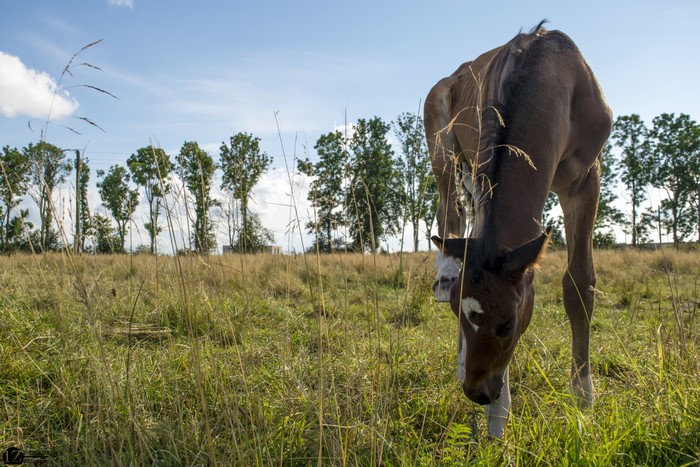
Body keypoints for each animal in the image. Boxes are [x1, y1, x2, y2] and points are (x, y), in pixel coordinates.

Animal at [424, 22, 612, 437]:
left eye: (507, 324)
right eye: (459, 314)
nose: (477, 393)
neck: (552, 76)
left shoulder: (585, 181)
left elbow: (579, 284)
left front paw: (583, 397)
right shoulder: (483, 170)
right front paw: (498, 417)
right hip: (444, 153)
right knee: (449, 218)